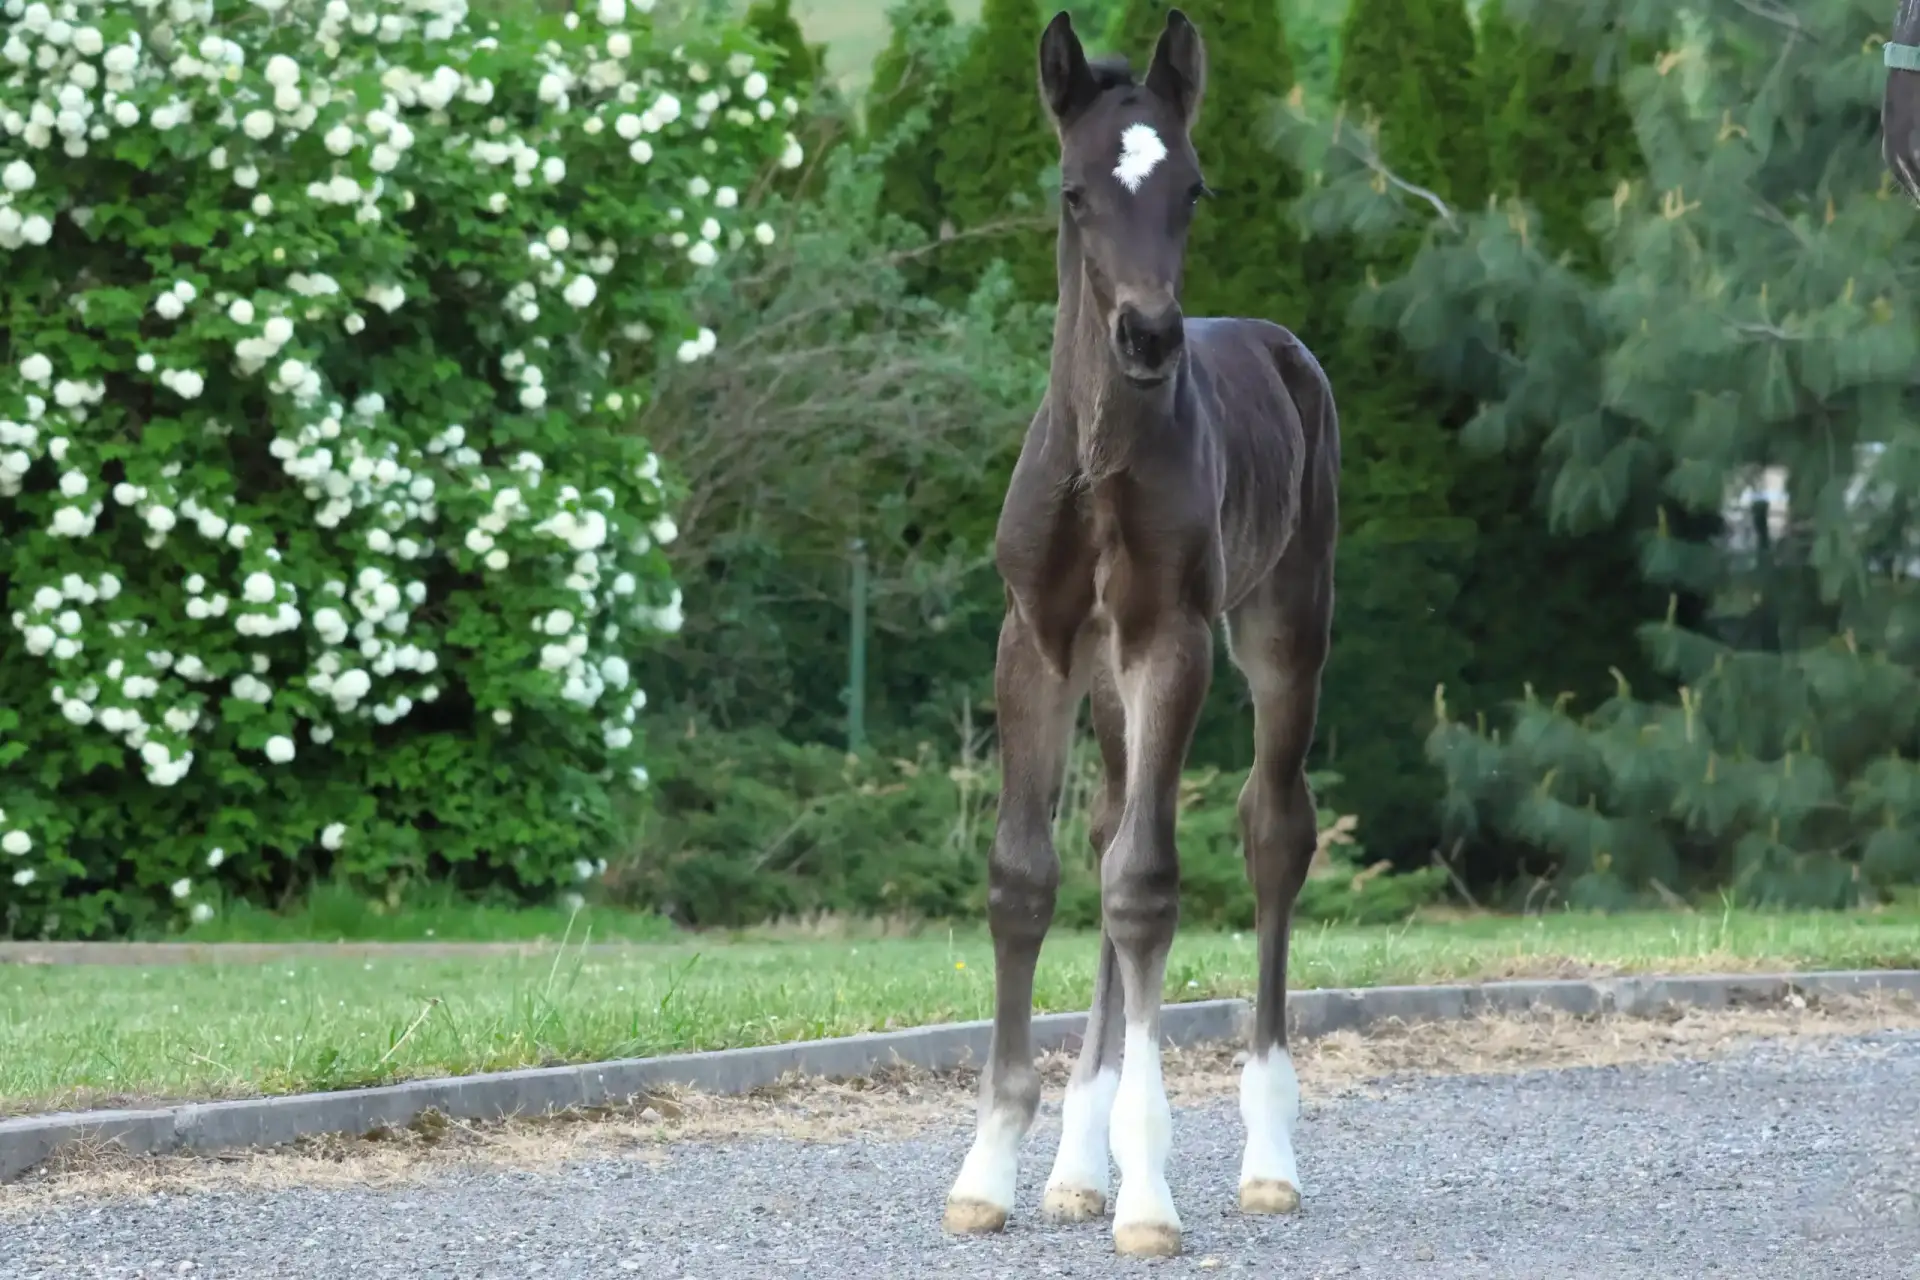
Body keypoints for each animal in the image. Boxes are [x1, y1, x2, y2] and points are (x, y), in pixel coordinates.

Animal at [939, 7, 1341, 1259]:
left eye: (1194, 189)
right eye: (1073, 191)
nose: (1151, 337)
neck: (1099, 461)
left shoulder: (1173, 636)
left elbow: (1147, 886)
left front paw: (1149, 1190)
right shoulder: (1038, 639)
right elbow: (1029, 877)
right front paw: (990, 1168)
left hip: (1284, 627)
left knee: (1271, 833)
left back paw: (1268, 1157)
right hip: (1111, 686)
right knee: (1110, 819)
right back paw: (1078, 1162)